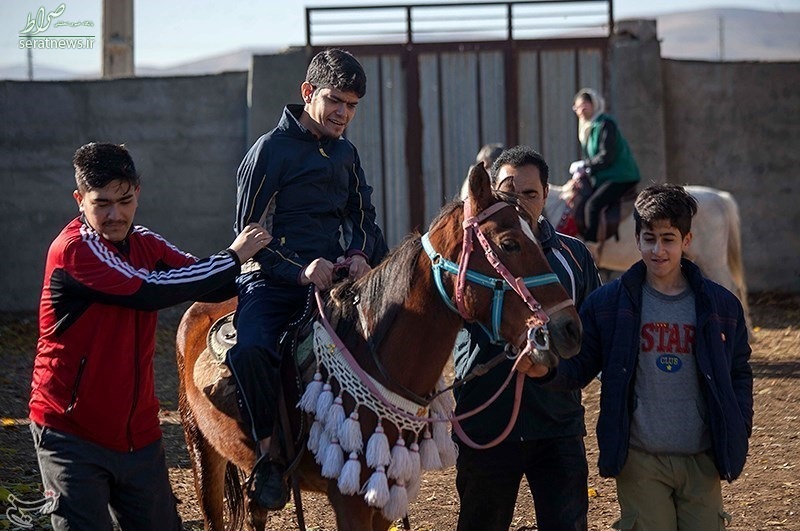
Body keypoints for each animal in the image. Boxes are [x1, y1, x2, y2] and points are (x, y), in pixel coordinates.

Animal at [178, 164, 584, 528]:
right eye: (509, 244)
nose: (569, 328)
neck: (372, 354)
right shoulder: (350, 499)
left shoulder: (384, 493)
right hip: (201, 452)